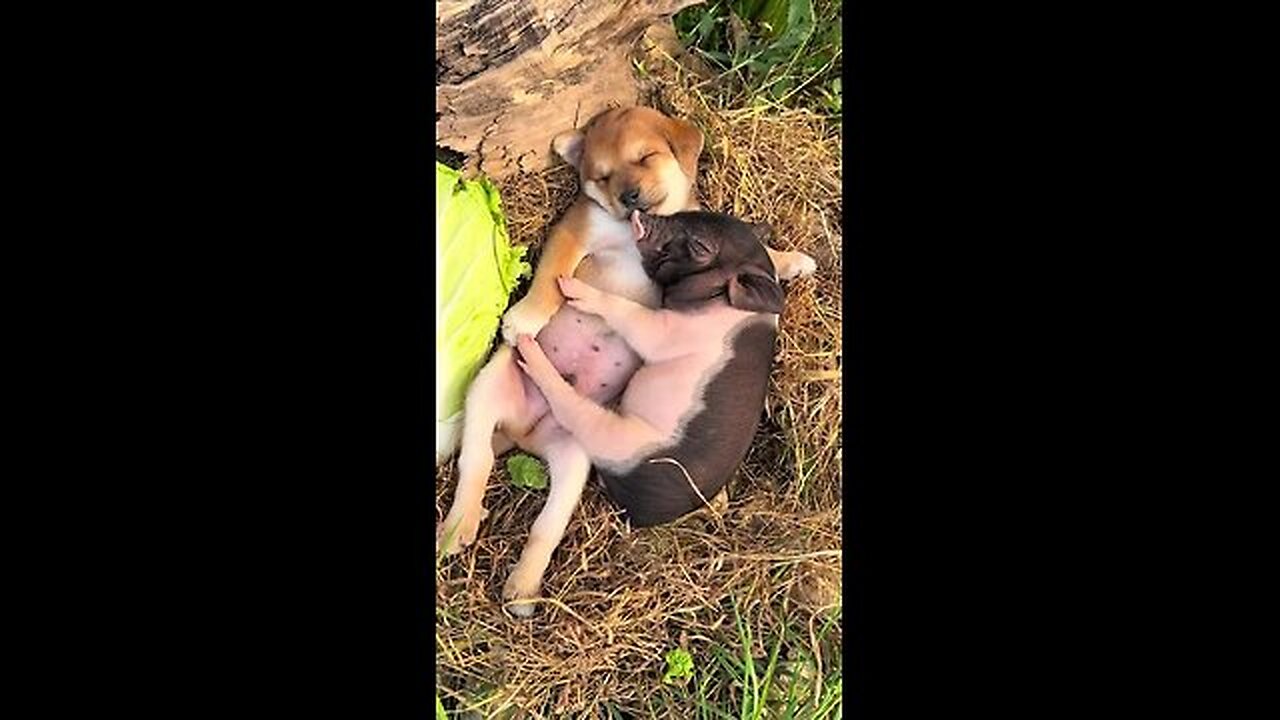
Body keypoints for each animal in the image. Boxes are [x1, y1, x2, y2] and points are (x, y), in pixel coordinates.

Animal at [514, 210, 783, 525]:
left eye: (700, 247)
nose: (641, 215)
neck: (723, 304)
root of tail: (638, 510)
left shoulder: (667, 333)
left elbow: (630, 315)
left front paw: (569, 287)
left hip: (618, 438)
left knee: (573, 408)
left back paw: (528, 349)